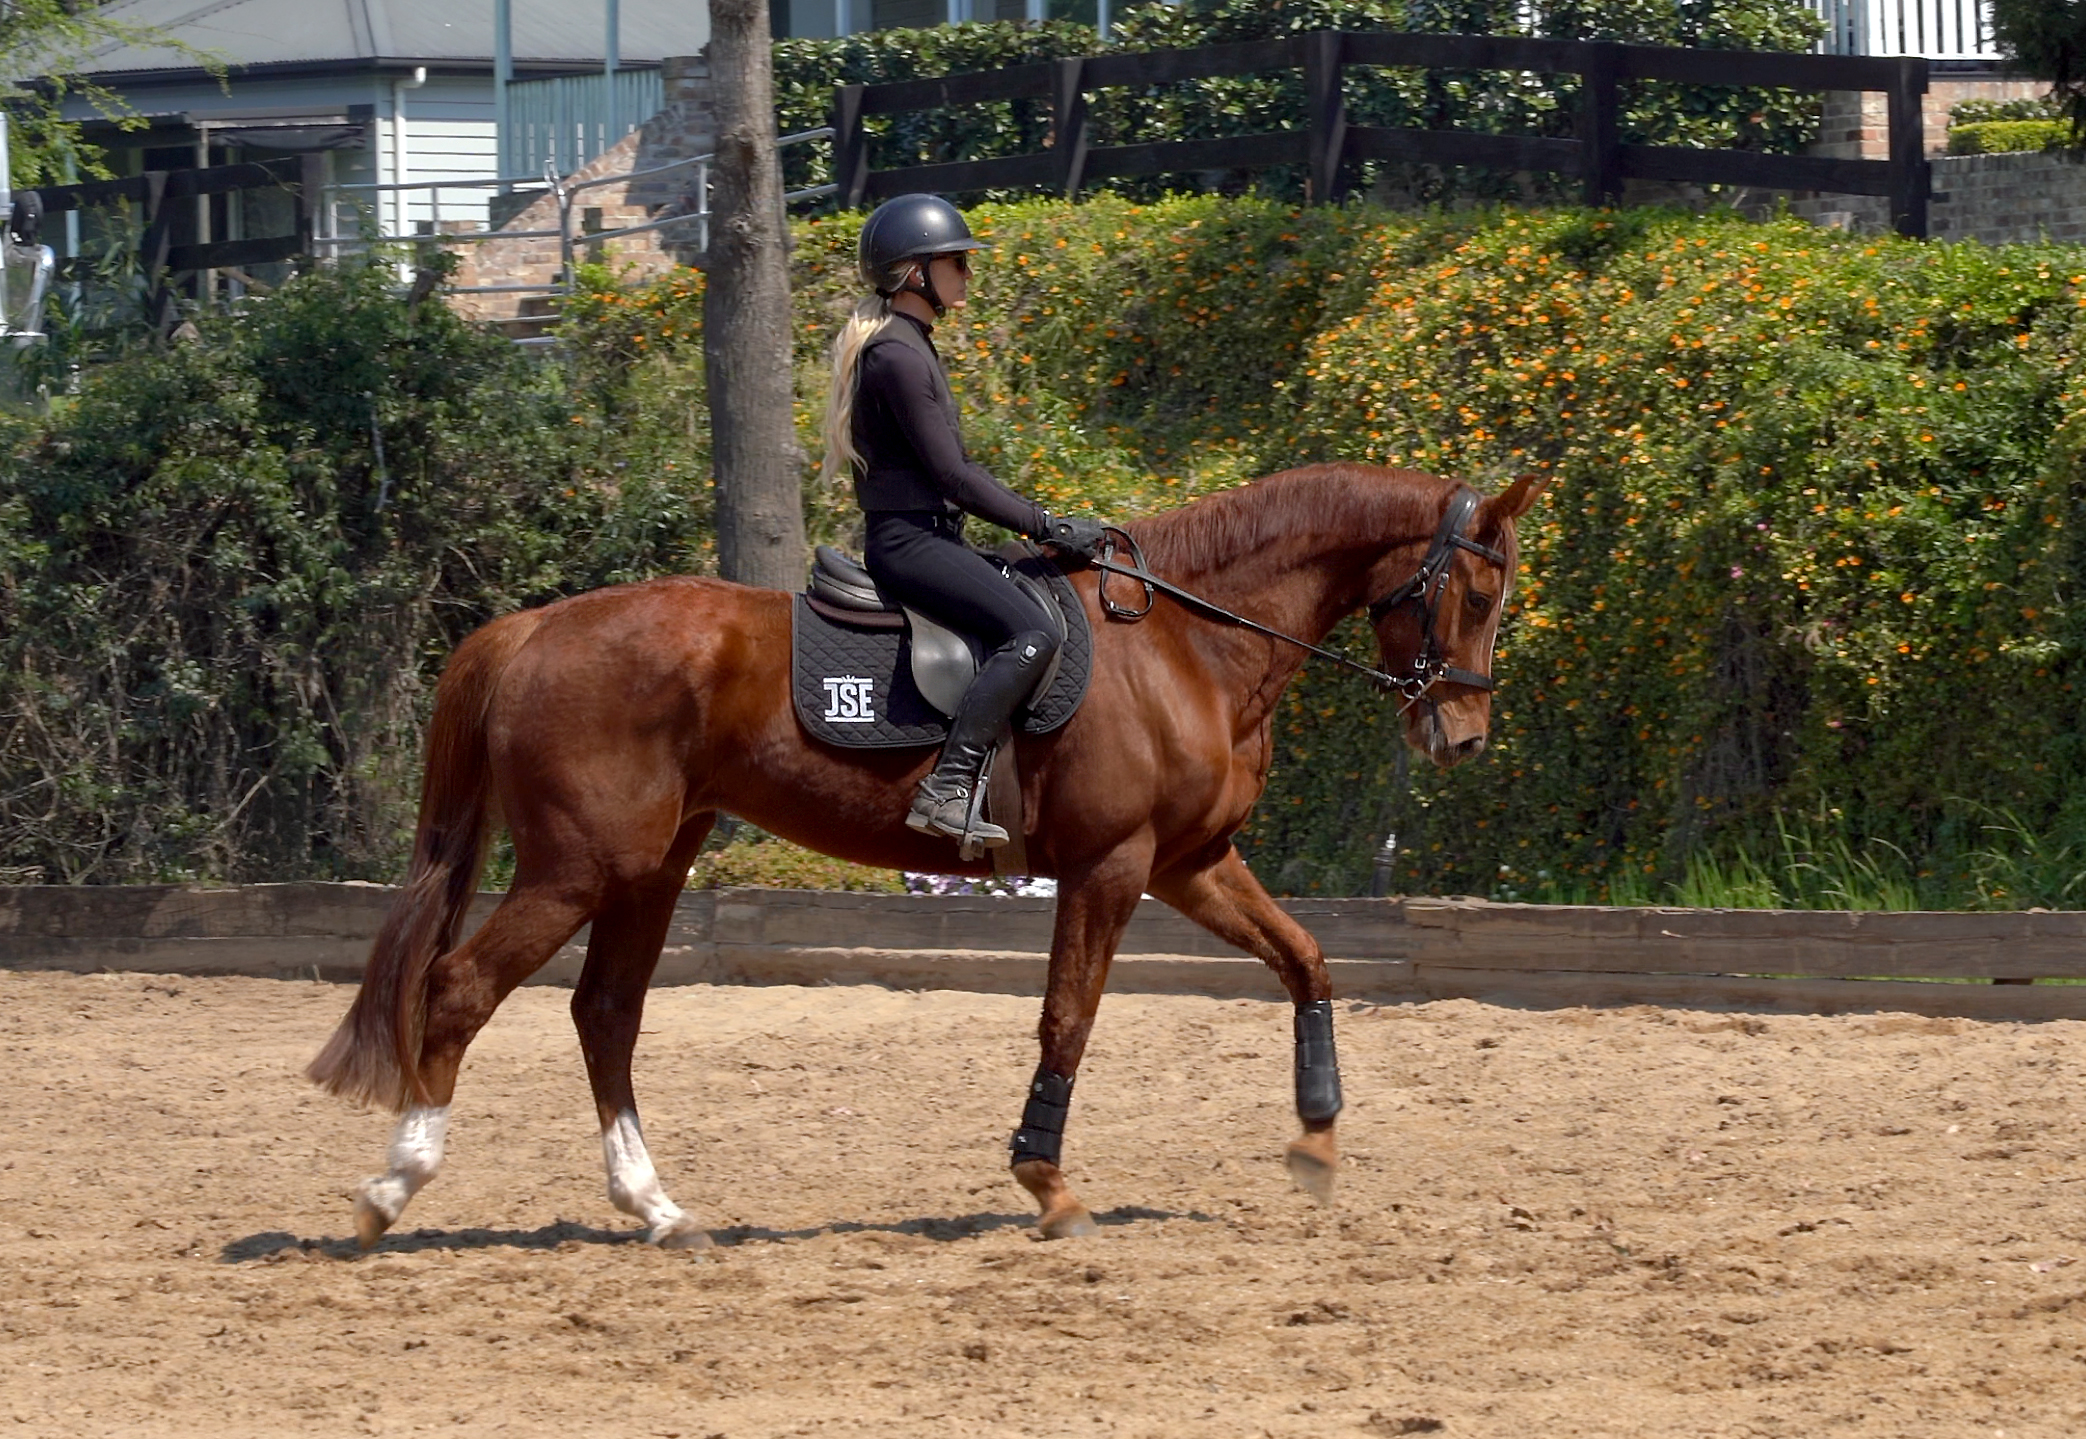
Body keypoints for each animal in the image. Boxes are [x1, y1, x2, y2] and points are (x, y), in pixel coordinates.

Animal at [307, 462, 1545, 1248]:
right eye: (1478, 589)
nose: (1464, 735)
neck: (1190, 635)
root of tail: (528, 629)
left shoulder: (1189, 860)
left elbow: (1306, 960)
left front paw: (1317, 1141)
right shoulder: (1113, 864)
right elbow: (1067, 1017)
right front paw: (1047, 1182)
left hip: (649, 867)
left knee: (604, 1013)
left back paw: (655, 1207)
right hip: (579, 866)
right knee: (459, 987)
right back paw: (391, 1186)